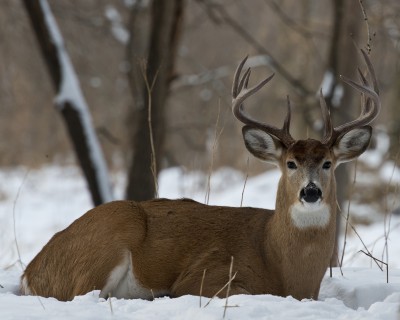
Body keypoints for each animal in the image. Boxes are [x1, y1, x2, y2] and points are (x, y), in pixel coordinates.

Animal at [20, 49, 380, 300]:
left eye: (328, 163)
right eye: (290, 163)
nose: (311, 192)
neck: (281, 264)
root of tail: (31, 272)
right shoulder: (206, 276)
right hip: (109, 236)